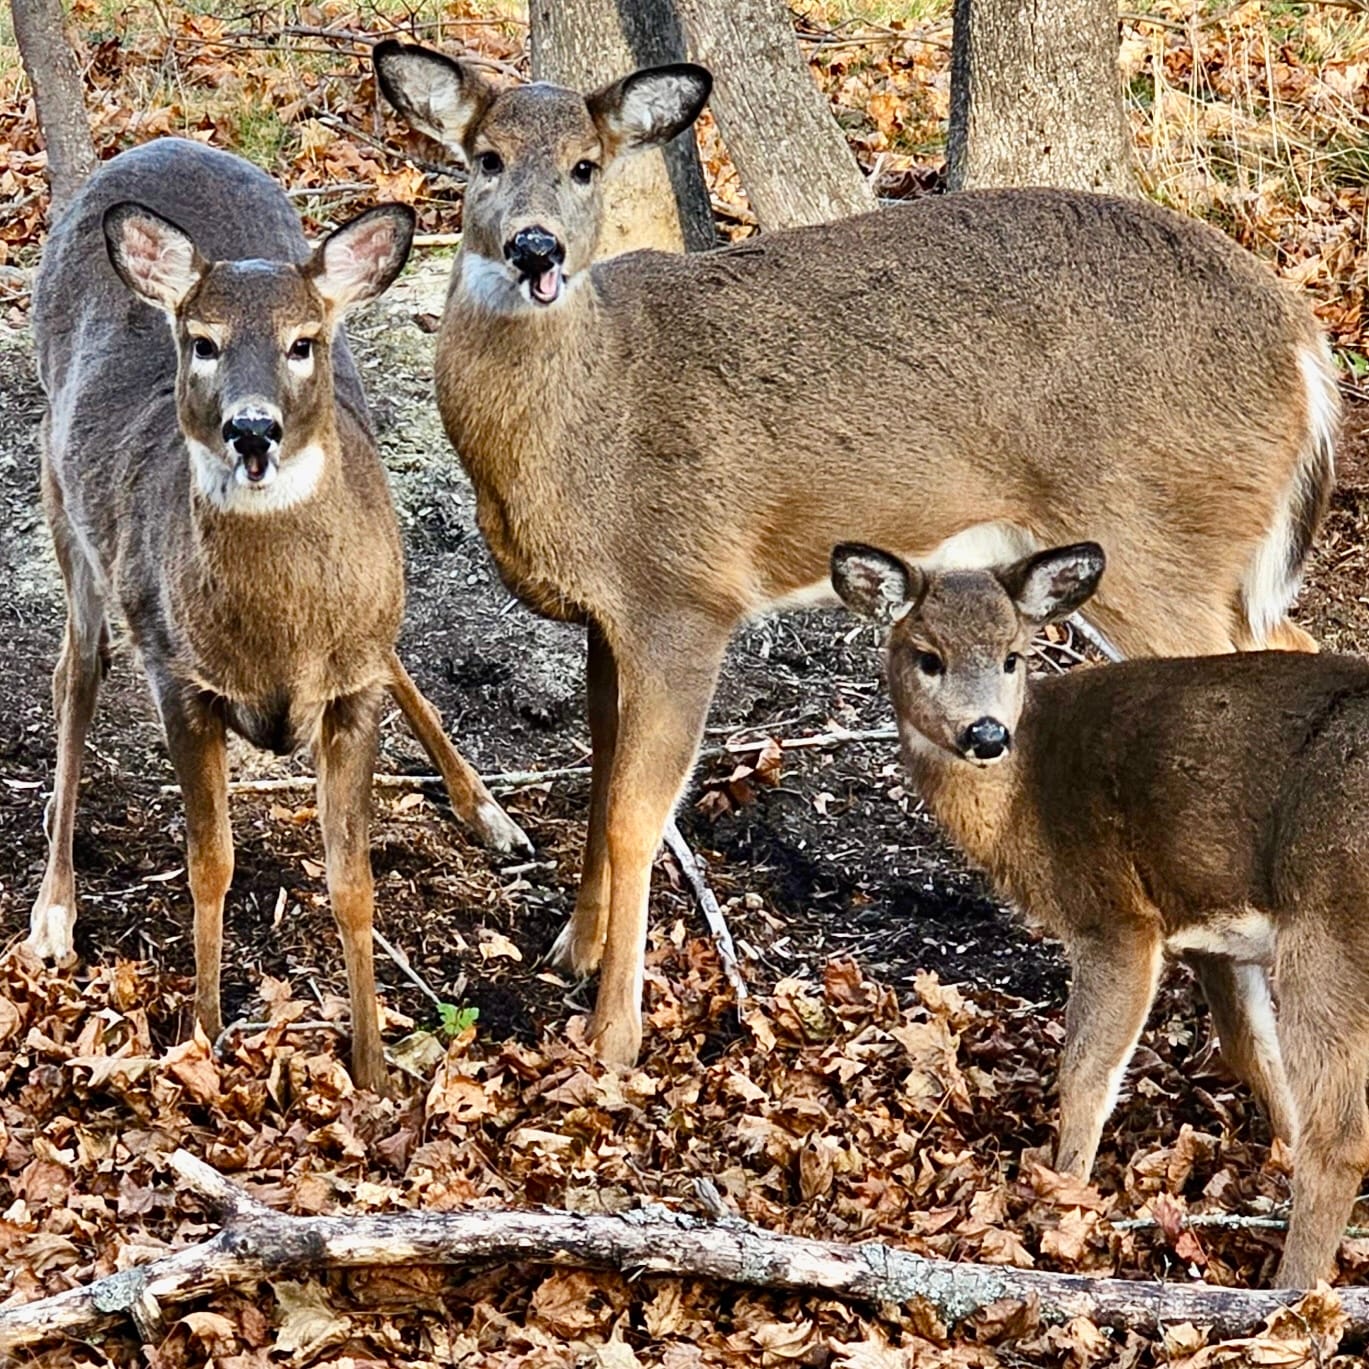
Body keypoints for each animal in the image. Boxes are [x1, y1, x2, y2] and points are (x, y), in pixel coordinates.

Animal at [27, 136, 532, 1092]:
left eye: (303, 342)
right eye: (202, 343)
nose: (251, 429)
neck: (276, 644)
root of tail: (154, 144)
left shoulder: (352, 684)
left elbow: (354, 881)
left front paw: (373, 1067)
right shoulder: (178, 677)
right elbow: (209, 862)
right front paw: (205, 1033)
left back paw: (490, 811)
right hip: (65, 500)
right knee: (75, 671)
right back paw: (53, 909)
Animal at [372, 41, 1338, 1069]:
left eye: (585, 166)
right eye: (484, 158)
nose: (535, 248)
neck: (587, 419)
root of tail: (1306, 344)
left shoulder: (684, 595)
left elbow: (640, 810)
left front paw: (613, 1033)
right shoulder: (607, 616)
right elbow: (600, 778)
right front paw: (573, 949)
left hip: (1159, 532)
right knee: (1292, 646)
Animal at [830, 538, 1369, 1289]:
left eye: (1013, 655)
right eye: (927, 655)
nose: (986, 733)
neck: (1024, 800)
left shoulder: (1113, 917)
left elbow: (1084, 1068)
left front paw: (1062, 1195)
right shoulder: (1208, 925)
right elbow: (1250, 1052)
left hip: (1327, 921)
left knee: (1344, 1138)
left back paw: (1289, 1290)